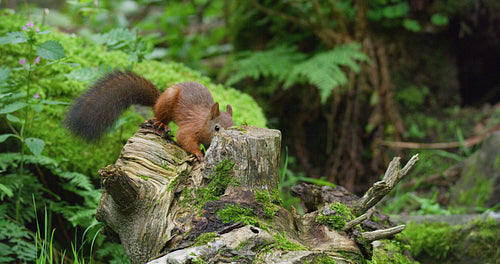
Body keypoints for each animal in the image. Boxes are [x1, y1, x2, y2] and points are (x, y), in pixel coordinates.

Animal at [64, 70, 234, 160]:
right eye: (217, 127)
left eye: (234, 126)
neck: (204, 122)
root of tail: (158, 99)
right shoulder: (191, 127)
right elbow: (184, 138)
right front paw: (198, 154)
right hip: (167, 101)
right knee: (161, 116)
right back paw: (160, 123)